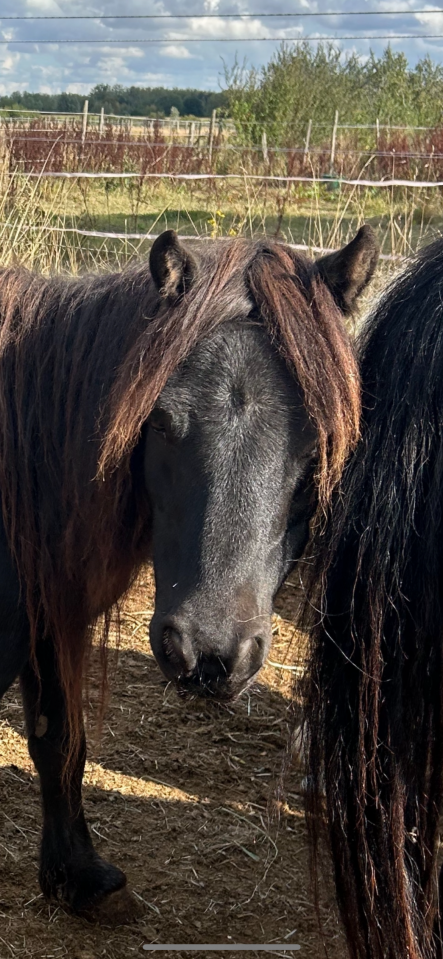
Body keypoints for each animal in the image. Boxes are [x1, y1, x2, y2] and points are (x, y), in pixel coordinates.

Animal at [0, 225, 378, 918]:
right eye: (161, 422)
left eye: (320, 444)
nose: (208, 652)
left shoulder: (49, 619)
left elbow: (58, 738)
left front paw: (77, 876)